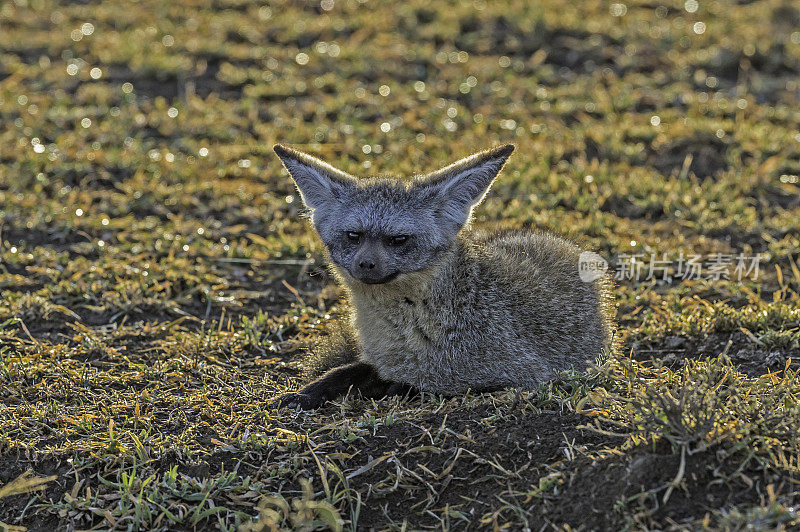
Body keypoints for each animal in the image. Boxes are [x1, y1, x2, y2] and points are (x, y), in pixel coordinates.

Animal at [272, 143, 616, 410]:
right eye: (353, 236)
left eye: (398, 240)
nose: (365, 264)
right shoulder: (382, 362)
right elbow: (346, 372)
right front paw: (308, 392)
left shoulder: (526, 375)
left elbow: (437, 386)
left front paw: (400, 388)